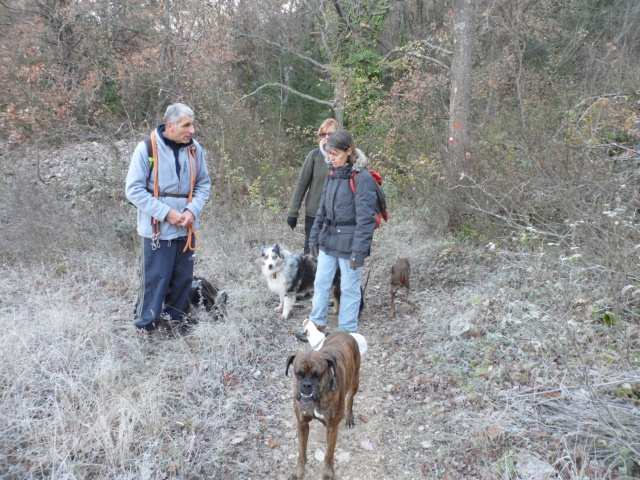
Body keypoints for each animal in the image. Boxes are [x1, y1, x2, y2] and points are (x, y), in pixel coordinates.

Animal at [284, 332, 360, 480]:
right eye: (298, 374)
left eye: (317, 375)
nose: (306, 385)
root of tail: (344, 332)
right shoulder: (302, 423)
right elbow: (301, 452)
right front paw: (299, 472)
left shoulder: (332, 427)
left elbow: (329, 454)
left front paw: (328, 473)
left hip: (355, 380)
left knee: (350, 399)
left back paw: (349, 418)